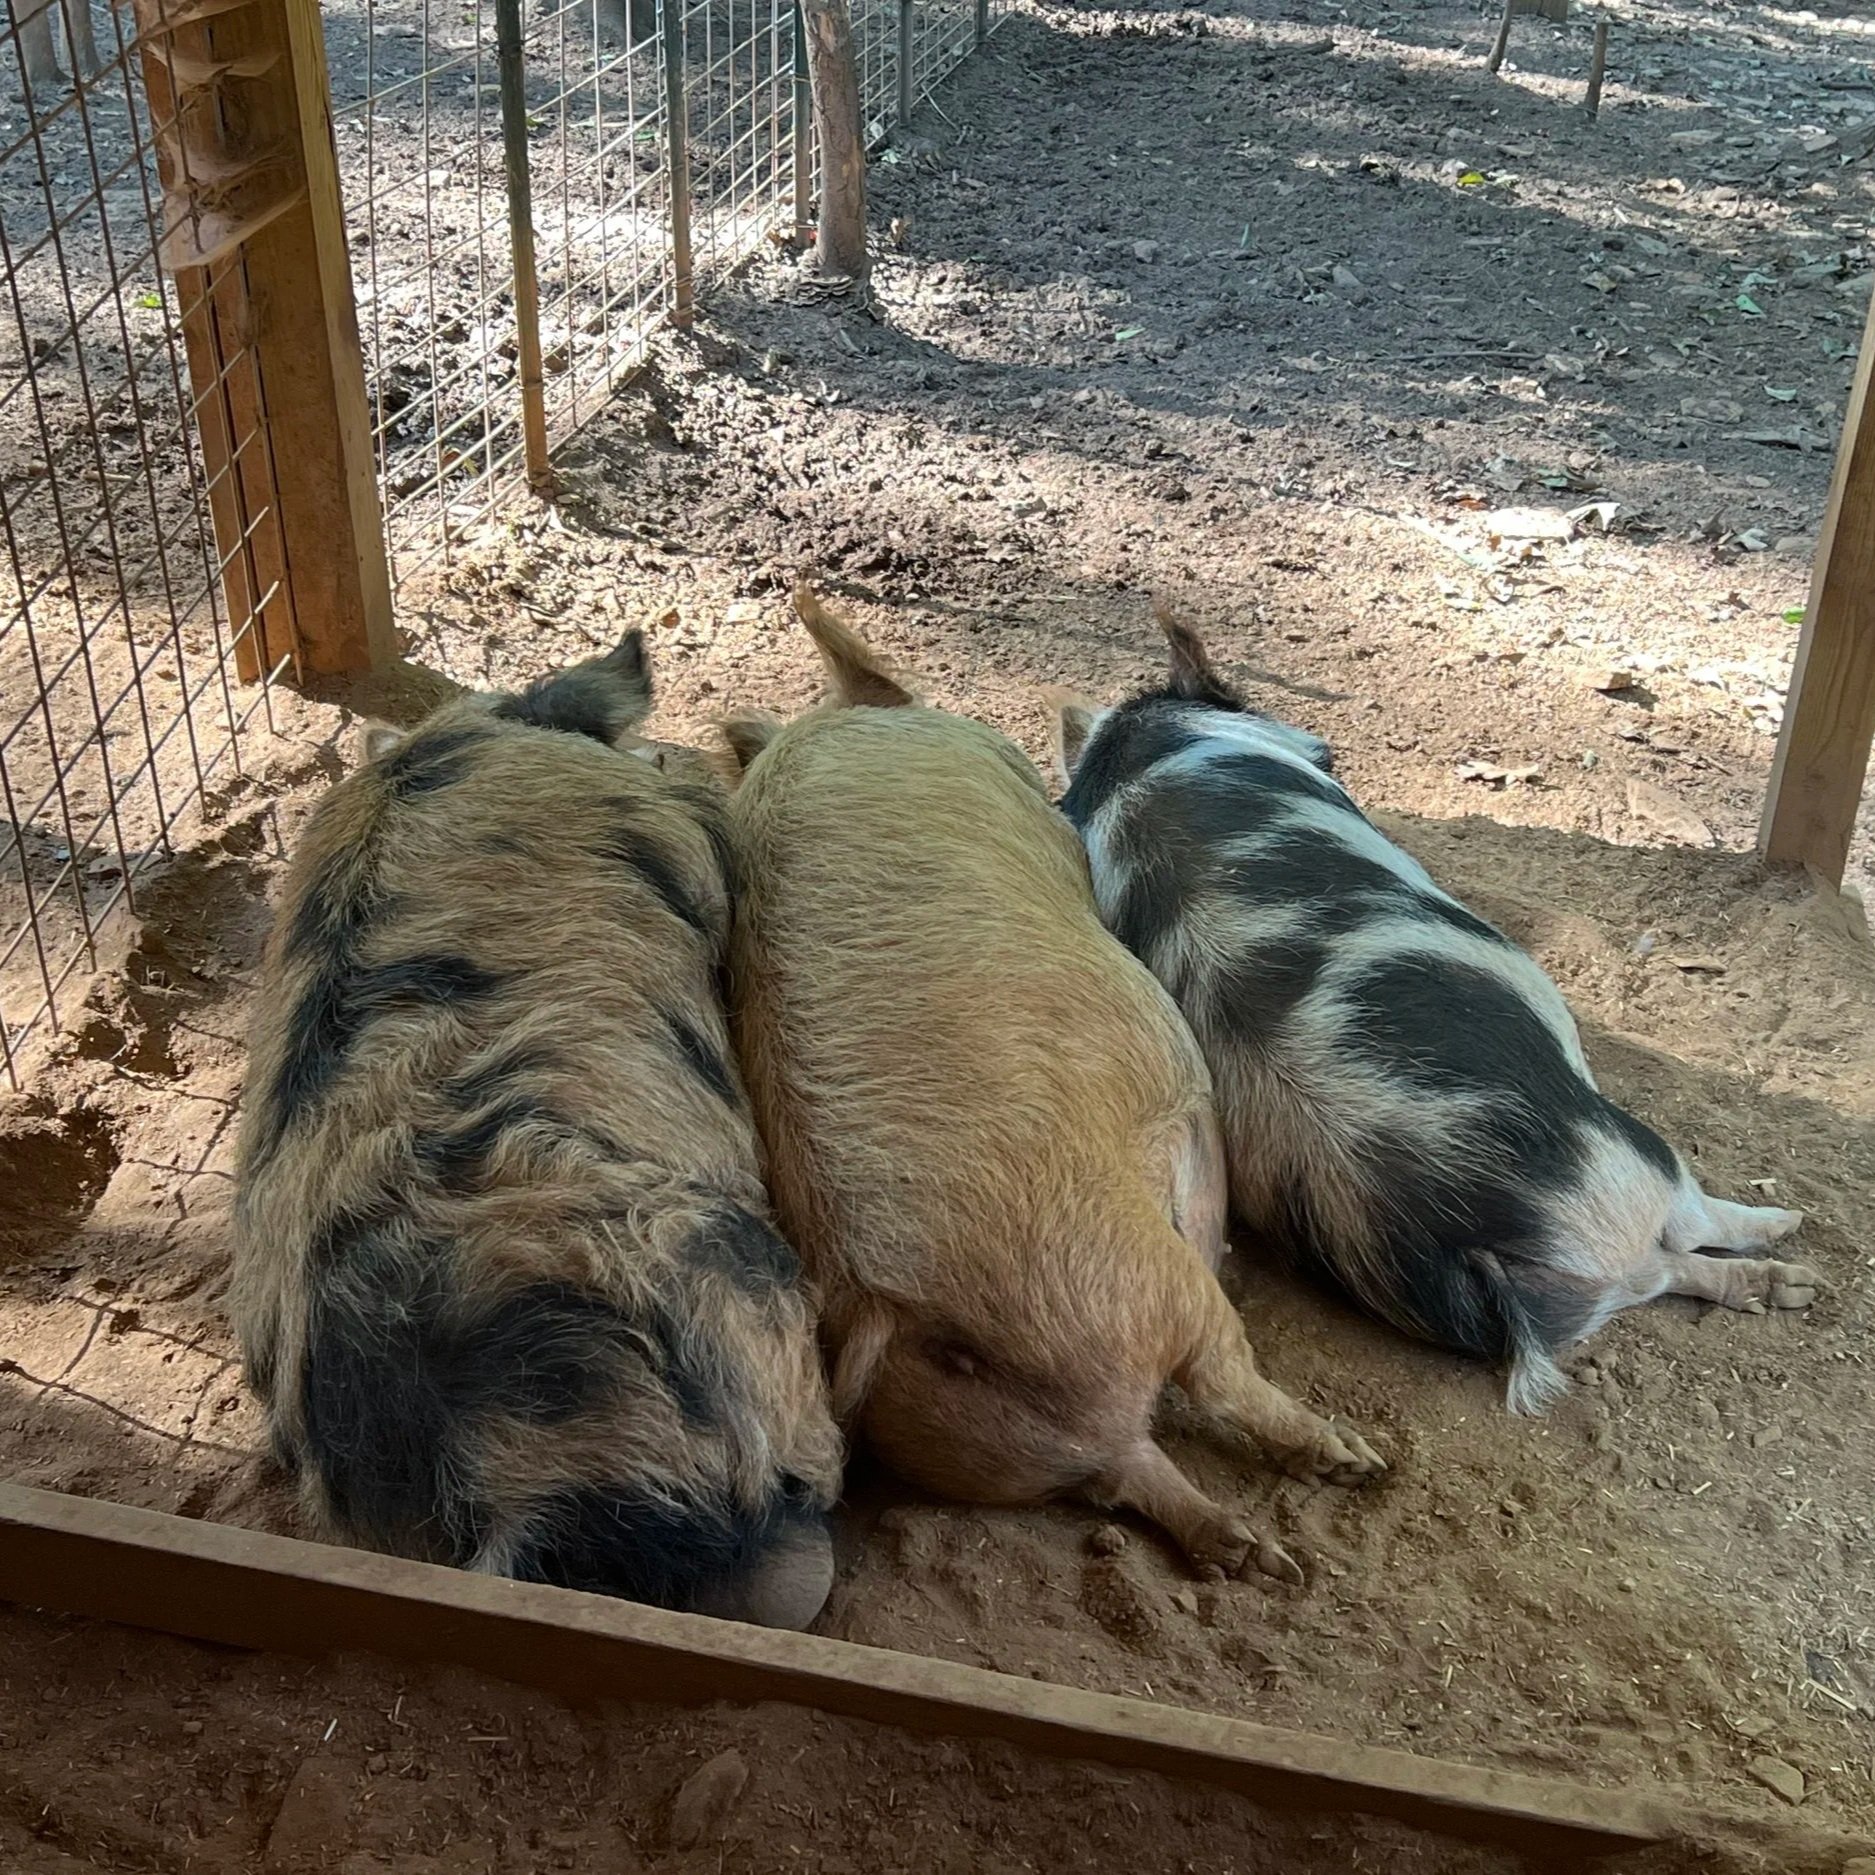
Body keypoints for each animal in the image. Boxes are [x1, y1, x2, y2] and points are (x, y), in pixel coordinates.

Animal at [720, 589, 1383, 1585]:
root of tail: (884, 1308)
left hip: (992, 1438)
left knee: (1126, 1470)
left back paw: (1248, 1554)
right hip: (1157, 1284)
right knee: (1220, 1382)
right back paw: (1350, 1469)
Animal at [1054, 602, 1821, 1414]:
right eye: (1326, 755)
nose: (1325, 750)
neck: (1131, 758)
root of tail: (1465, 1235)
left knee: (1667, 1273)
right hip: (1632, 1165)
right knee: (1692, 1226)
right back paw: (1791, 1240)